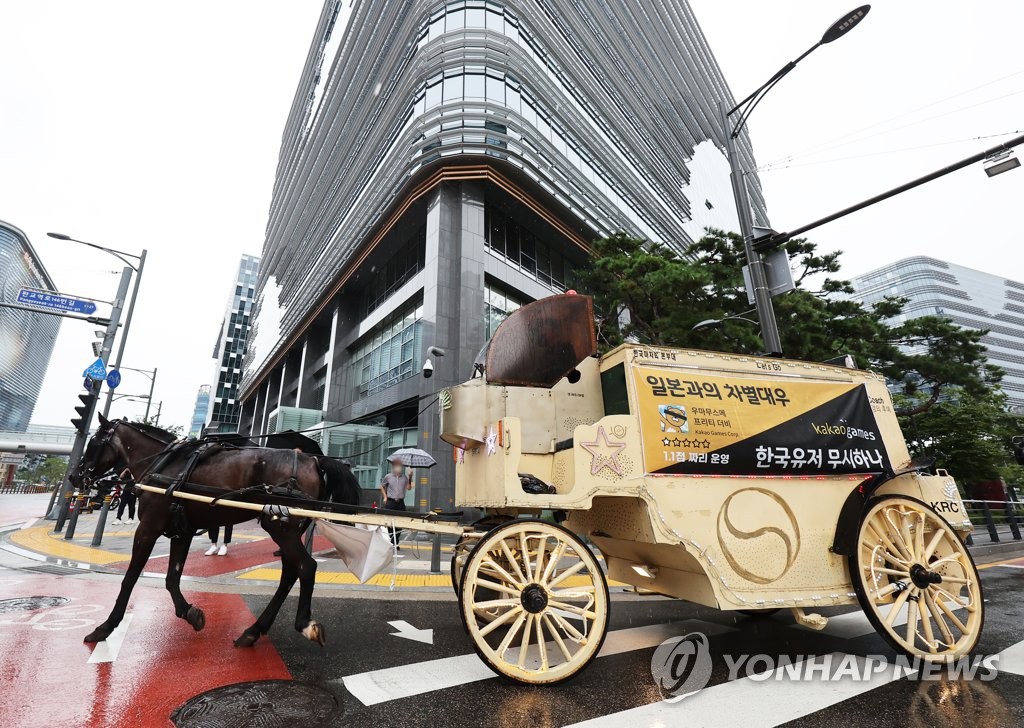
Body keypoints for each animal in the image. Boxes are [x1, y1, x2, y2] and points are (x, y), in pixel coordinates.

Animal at [72, 415, 360, 651]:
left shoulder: (148, 528)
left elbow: (130, 578)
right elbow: (172, 578)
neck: (163, 464)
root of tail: (314, 459)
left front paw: (104, 628)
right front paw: (189, 613)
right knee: (290, 573)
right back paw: (253, 631)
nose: (76, 475)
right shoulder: (181, 531)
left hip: (279, 525)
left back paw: (303, 624)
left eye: (94, 441)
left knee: (306, 566)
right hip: (287, 526)